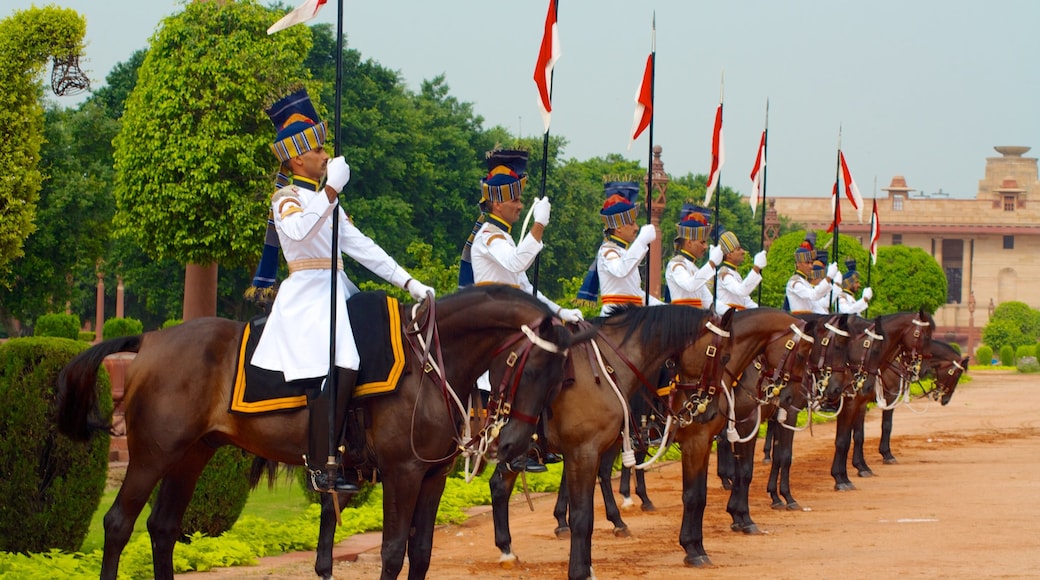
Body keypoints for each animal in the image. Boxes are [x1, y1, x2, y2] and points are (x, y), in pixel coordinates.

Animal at [56, 286, 578, 580]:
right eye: (534, 367)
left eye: (561, 376)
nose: (515, 444)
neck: (430, 363)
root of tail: (150, 339)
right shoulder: (402, 473)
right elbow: (393, 553)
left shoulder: (431, 477)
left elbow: (422, 553)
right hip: (152, 454)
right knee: (118, 524)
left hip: (192, 453)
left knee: (163, 528)